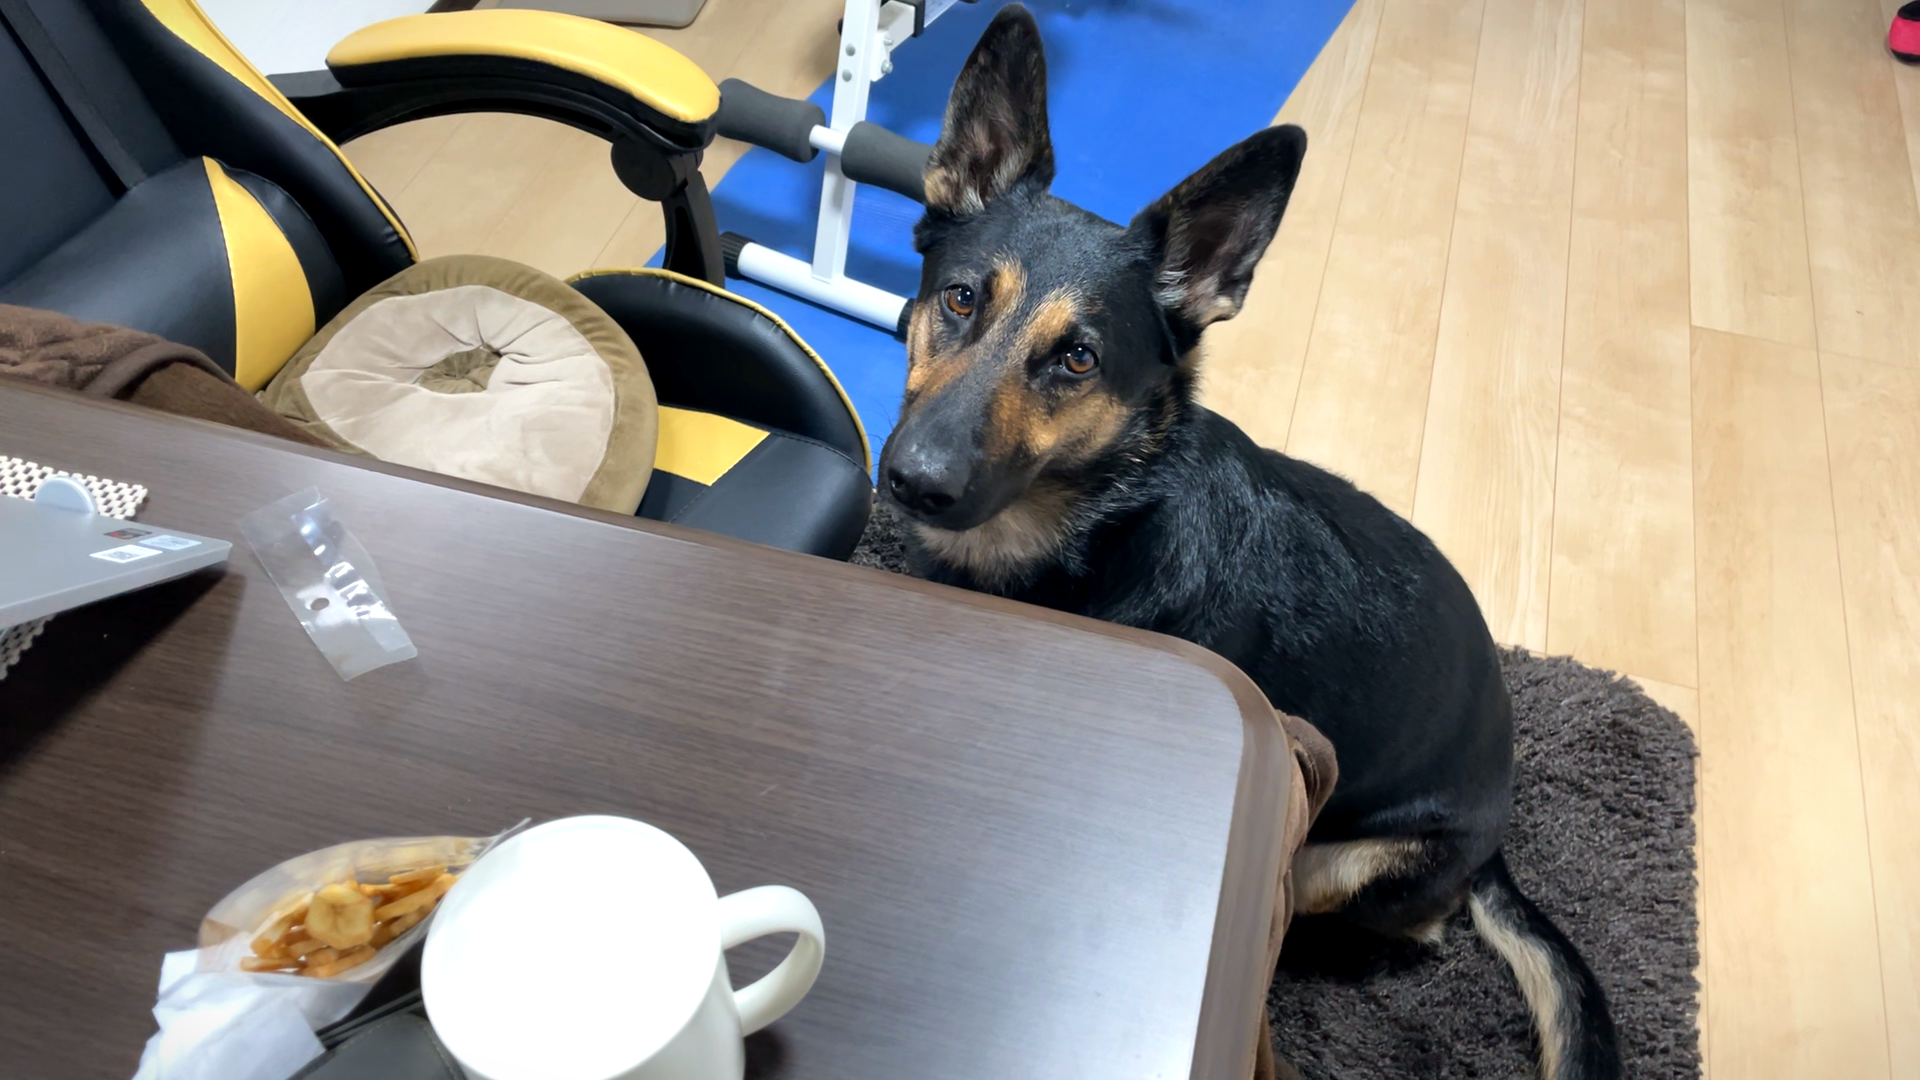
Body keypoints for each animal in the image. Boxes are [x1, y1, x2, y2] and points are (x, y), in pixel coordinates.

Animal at [878, 8, 1621, 1079]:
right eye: (963, 299)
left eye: (1078, 359)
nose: (912, 480)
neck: (1097, 525)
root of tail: (1496, 842)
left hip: (1346, 855)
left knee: (1398, 935)